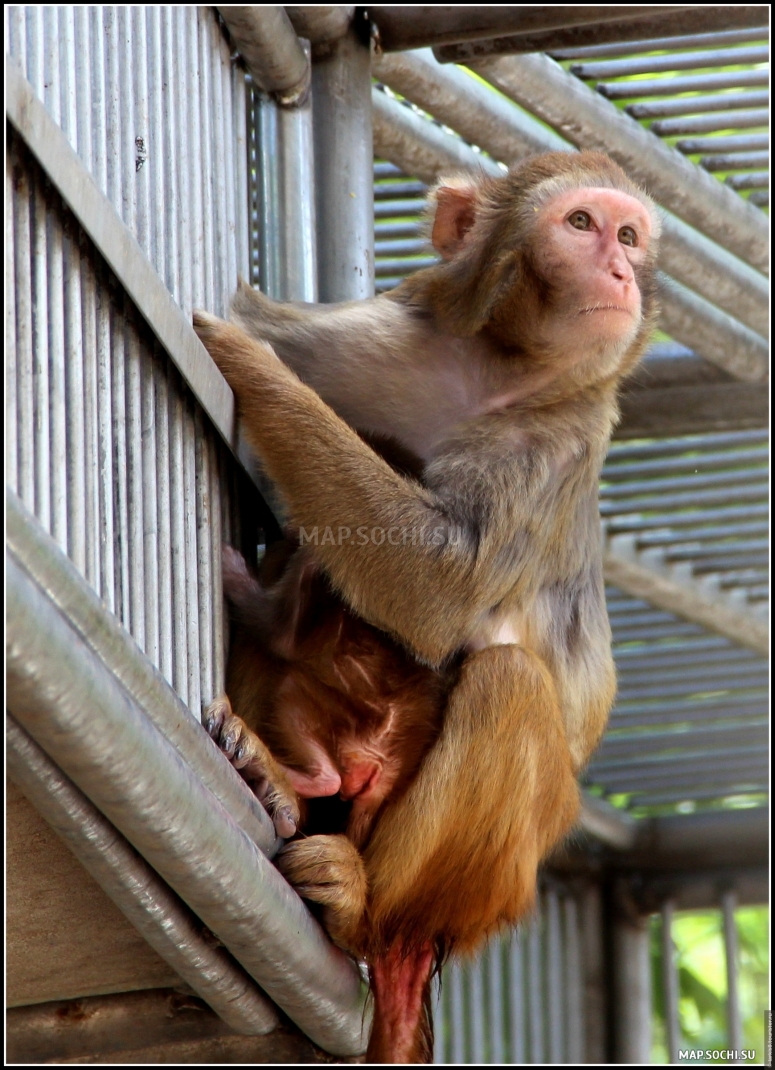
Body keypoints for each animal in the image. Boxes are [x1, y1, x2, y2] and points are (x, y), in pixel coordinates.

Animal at [194, 150, 659, 1061]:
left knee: (507, 683)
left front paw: (236, 352)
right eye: (581, 224)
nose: (621, 272)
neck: (496, 369)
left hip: (487, 876)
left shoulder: (559, 438)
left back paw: (362, 911)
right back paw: (278, 773)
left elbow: (438, 583)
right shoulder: (377, 338)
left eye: (627, 235)